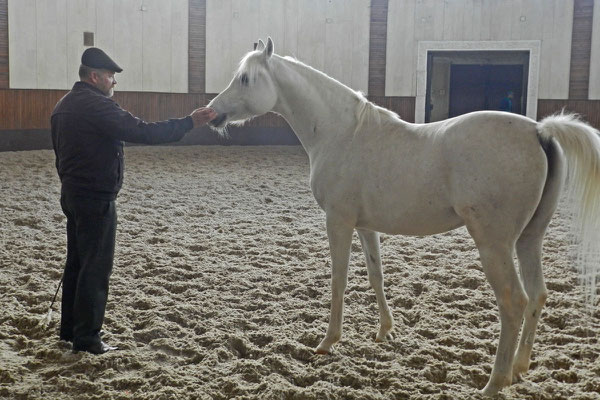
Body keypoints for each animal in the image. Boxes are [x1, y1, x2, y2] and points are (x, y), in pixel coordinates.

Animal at [206, 39, 600, 396]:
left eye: (245, 78)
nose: (210, 114)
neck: (342, 133)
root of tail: (539, 131)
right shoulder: (365, 226)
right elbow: (376, 276)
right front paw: (384, 330)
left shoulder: (338, 222)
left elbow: (339, 281)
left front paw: (328, 341)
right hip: (529, 239)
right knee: (537, 295)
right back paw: (519, 368)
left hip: (494, 244)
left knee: (513, 301)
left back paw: (494, 383)